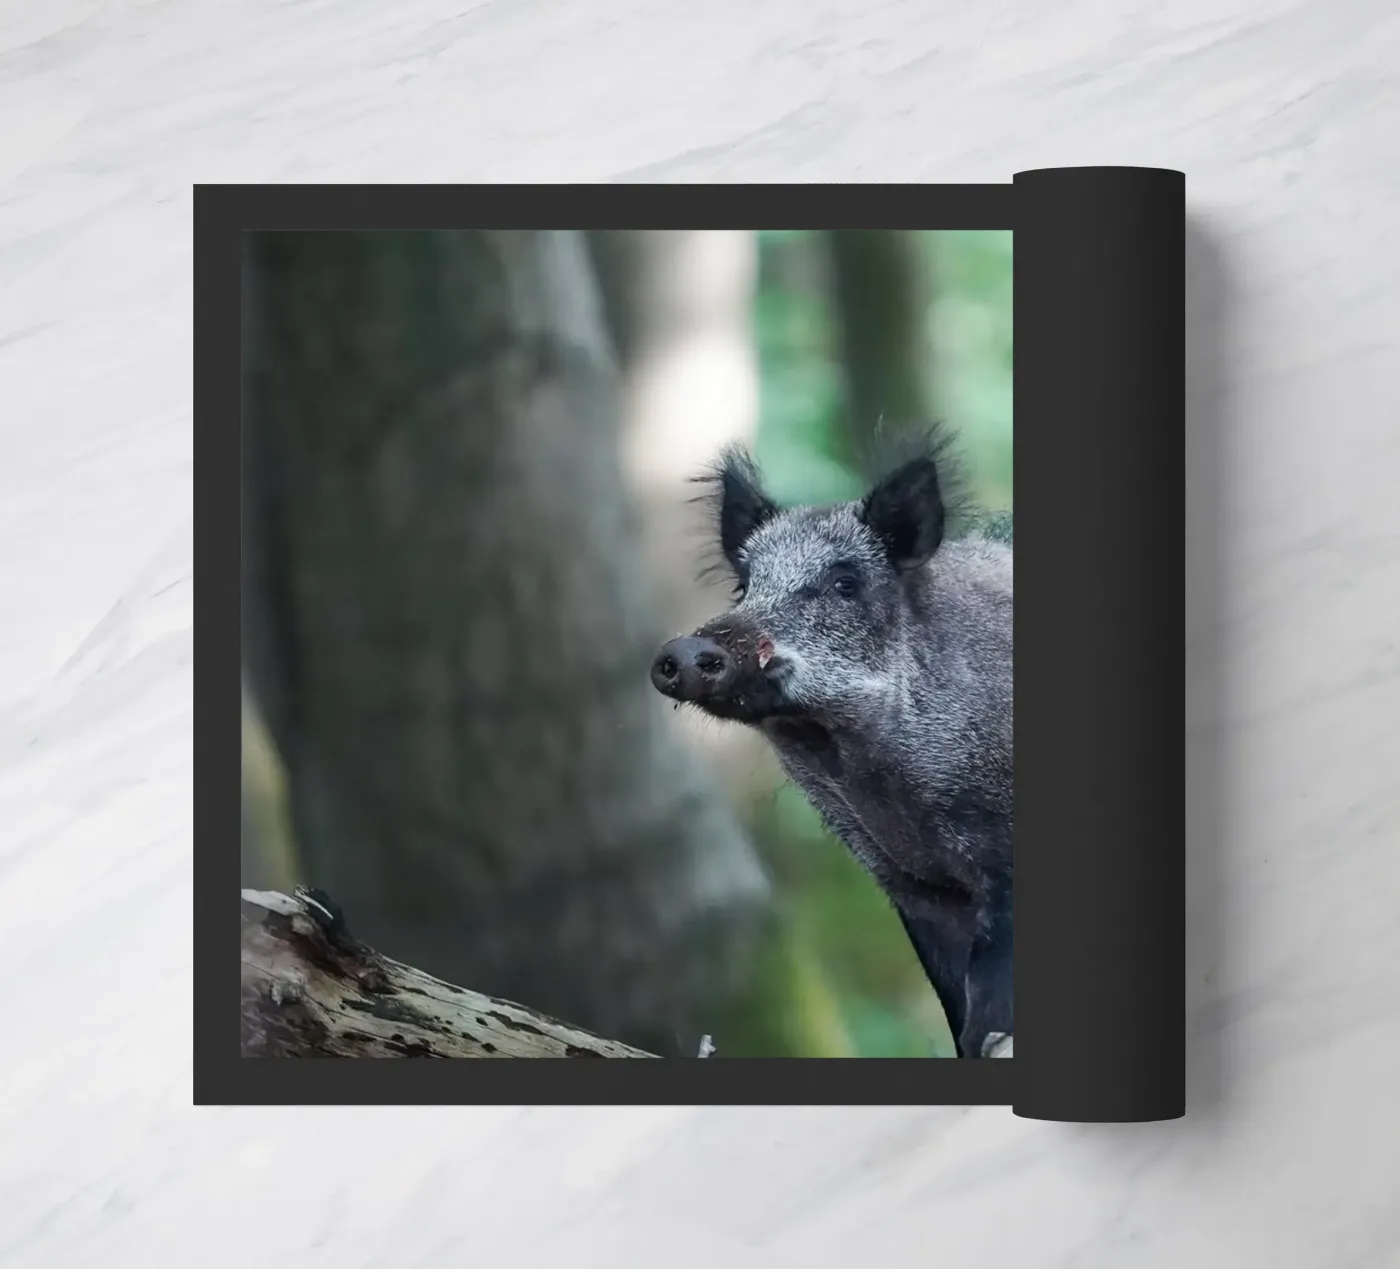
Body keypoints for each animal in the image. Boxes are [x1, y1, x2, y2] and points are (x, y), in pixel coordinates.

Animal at [650, 429, 1012, 1058]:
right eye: (744, 585)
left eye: (845, 584)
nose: (686, 650)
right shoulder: (912, 887)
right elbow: (957, 1006)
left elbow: (992, 1001)